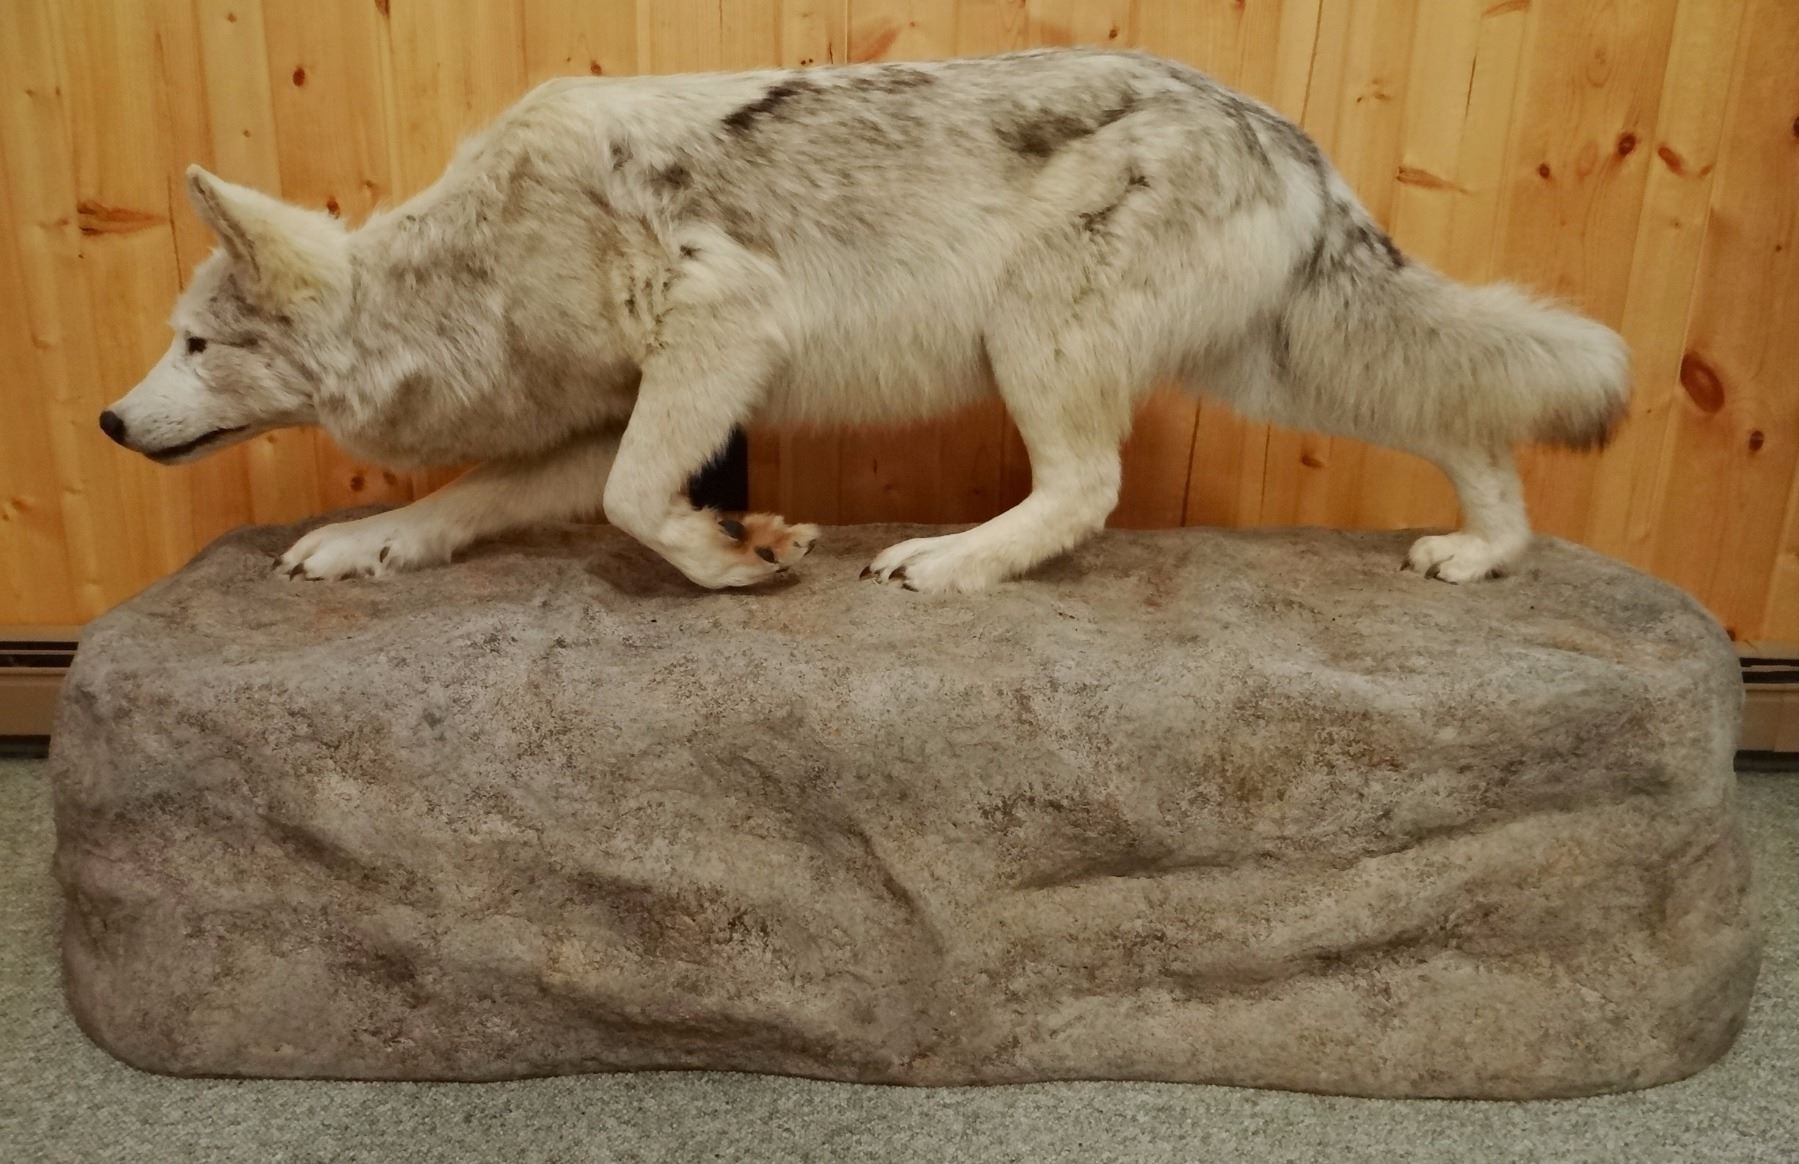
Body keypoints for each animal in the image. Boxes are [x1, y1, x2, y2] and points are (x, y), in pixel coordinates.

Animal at [102, 49, 1628, 593]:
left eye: (192, 345)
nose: (109, 421)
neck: (469, 272)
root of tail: (1282, 129)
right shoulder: (600, 421)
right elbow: (468, 502)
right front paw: (361, 543)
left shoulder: (722, 328)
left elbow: (636, 503)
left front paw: (738, 558)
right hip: (1278, 366)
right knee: (1466, 416)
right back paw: (1483, 553)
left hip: (1038, 343)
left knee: (1085, 489)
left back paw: (948, 565)